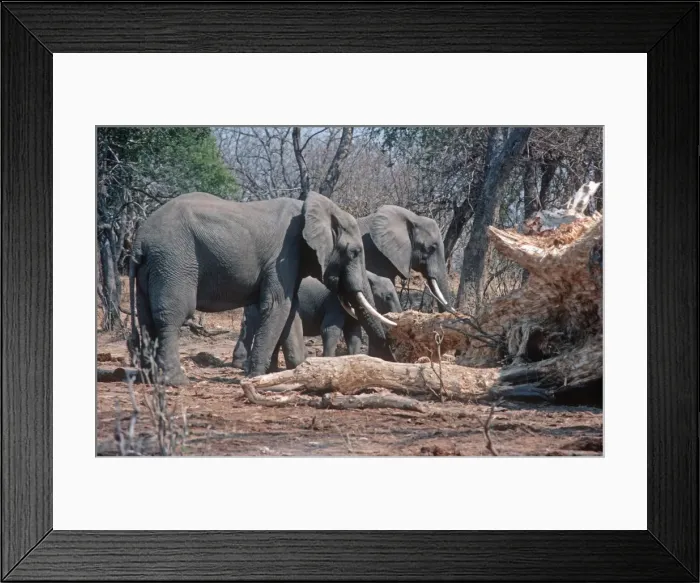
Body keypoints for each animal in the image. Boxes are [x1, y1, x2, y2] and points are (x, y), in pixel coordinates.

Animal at [232, 272, 402, 371]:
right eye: (387, 297)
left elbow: (354, 334)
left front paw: (354, 360)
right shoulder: (333, 301)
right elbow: (329, 329)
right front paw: (328, 362)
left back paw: (273, 370)